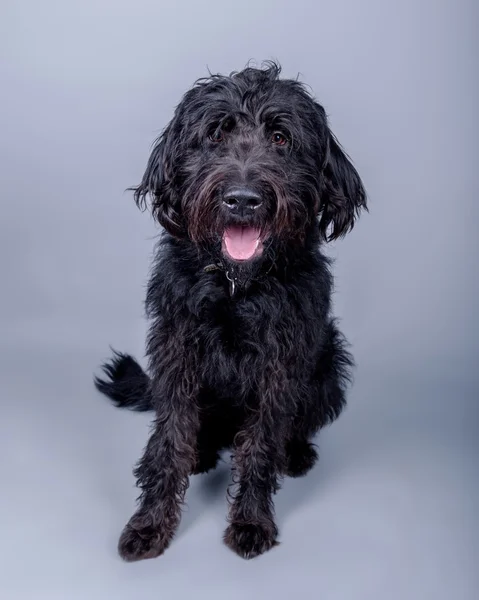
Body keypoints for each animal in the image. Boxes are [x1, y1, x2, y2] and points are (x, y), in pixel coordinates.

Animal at [94, 61, 366, 556]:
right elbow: (168, 442)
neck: (235, 286)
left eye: (280, 138)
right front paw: (150, 523)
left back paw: (296, 453)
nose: (242, 199)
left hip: (329, 368)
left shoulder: (280, 365)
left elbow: (260, 446)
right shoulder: (177, 351)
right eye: (216, 134)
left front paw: (252, 520)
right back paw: (201, 453)